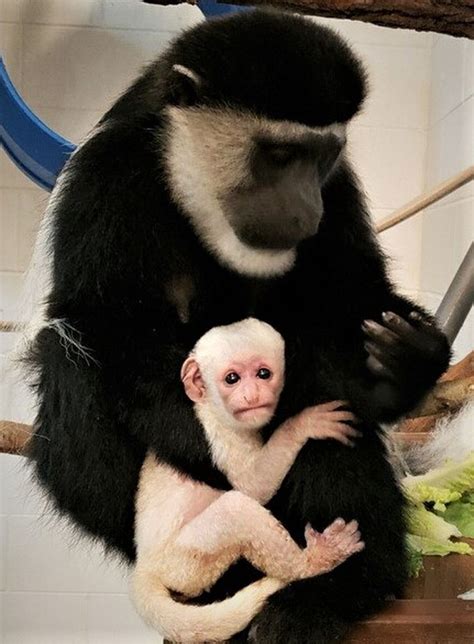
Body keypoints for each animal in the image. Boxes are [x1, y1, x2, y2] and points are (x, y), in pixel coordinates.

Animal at [130, 320, 362, 640]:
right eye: (232, 379)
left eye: (263, 374)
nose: (252, 395)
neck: (211, 406)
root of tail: (145, 568)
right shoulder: (219, 433)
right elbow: (253, 485)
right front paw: (303, 424)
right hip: (183, 562)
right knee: (236, 509)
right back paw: (312, 563)